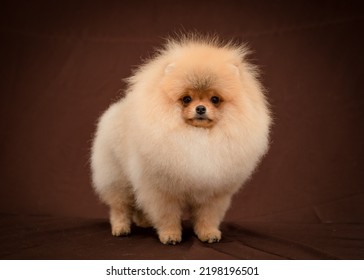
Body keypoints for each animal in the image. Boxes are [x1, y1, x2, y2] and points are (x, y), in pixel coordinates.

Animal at [90, 34, 270, 245]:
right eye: (186, 99)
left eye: (215, 99)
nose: (200, 108)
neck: (196, 137)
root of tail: (115, 109)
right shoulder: (162, 191)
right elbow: (167, 215)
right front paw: (170, 235)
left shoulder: (213, 192)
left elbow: (207, 216)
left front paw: (208, 233)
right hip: (117, 178)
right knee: (119, 206)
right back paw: (120, 228)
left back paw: (144, 222)